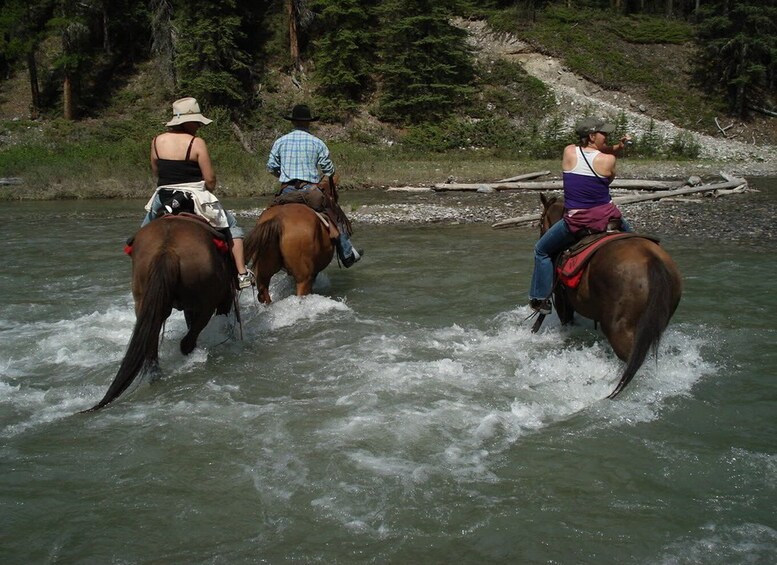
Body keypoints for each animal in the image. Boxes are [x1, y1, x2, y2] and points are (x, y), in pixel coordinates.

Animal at [84, 215, 236, 410]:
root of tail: (166, 249)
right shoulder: (224, 299)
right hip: (206, 302)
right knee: (187, 340)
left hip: (143, 299)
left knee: (152, 342)